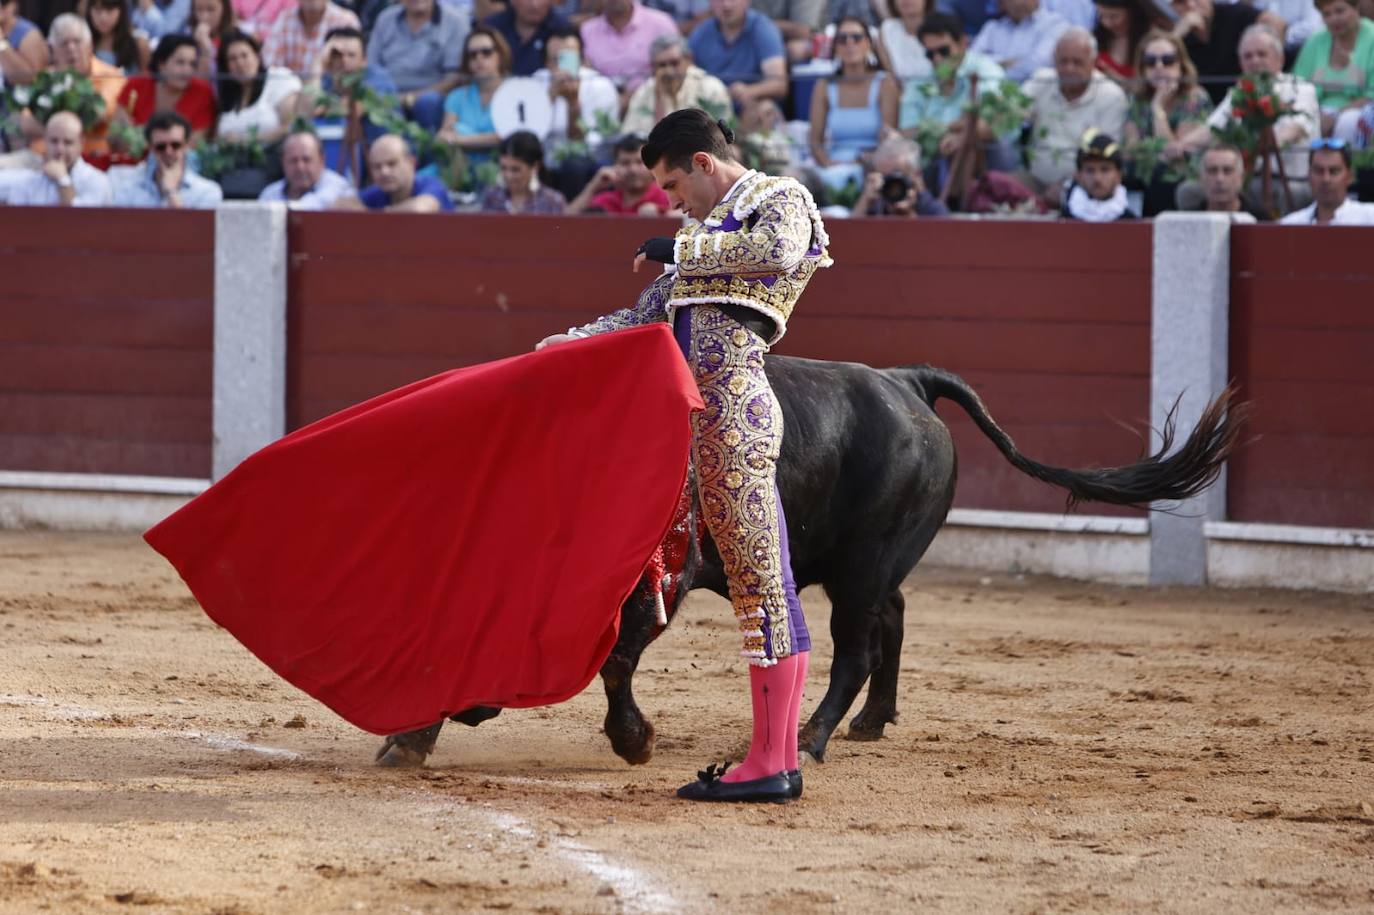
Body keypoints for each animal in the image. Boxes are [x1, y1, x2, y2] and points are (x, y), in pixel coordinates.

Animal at [379, 357, 1247, 763]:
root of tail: (908, 381)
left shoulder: (658, 582)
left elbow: (616, 660)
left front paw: (633, 739)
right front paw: (421, 730)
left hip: (859, 570)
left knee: (855, 647)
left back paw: (814, 736)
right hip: (868, 561)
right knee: (891, 621)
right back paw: (868, 723)